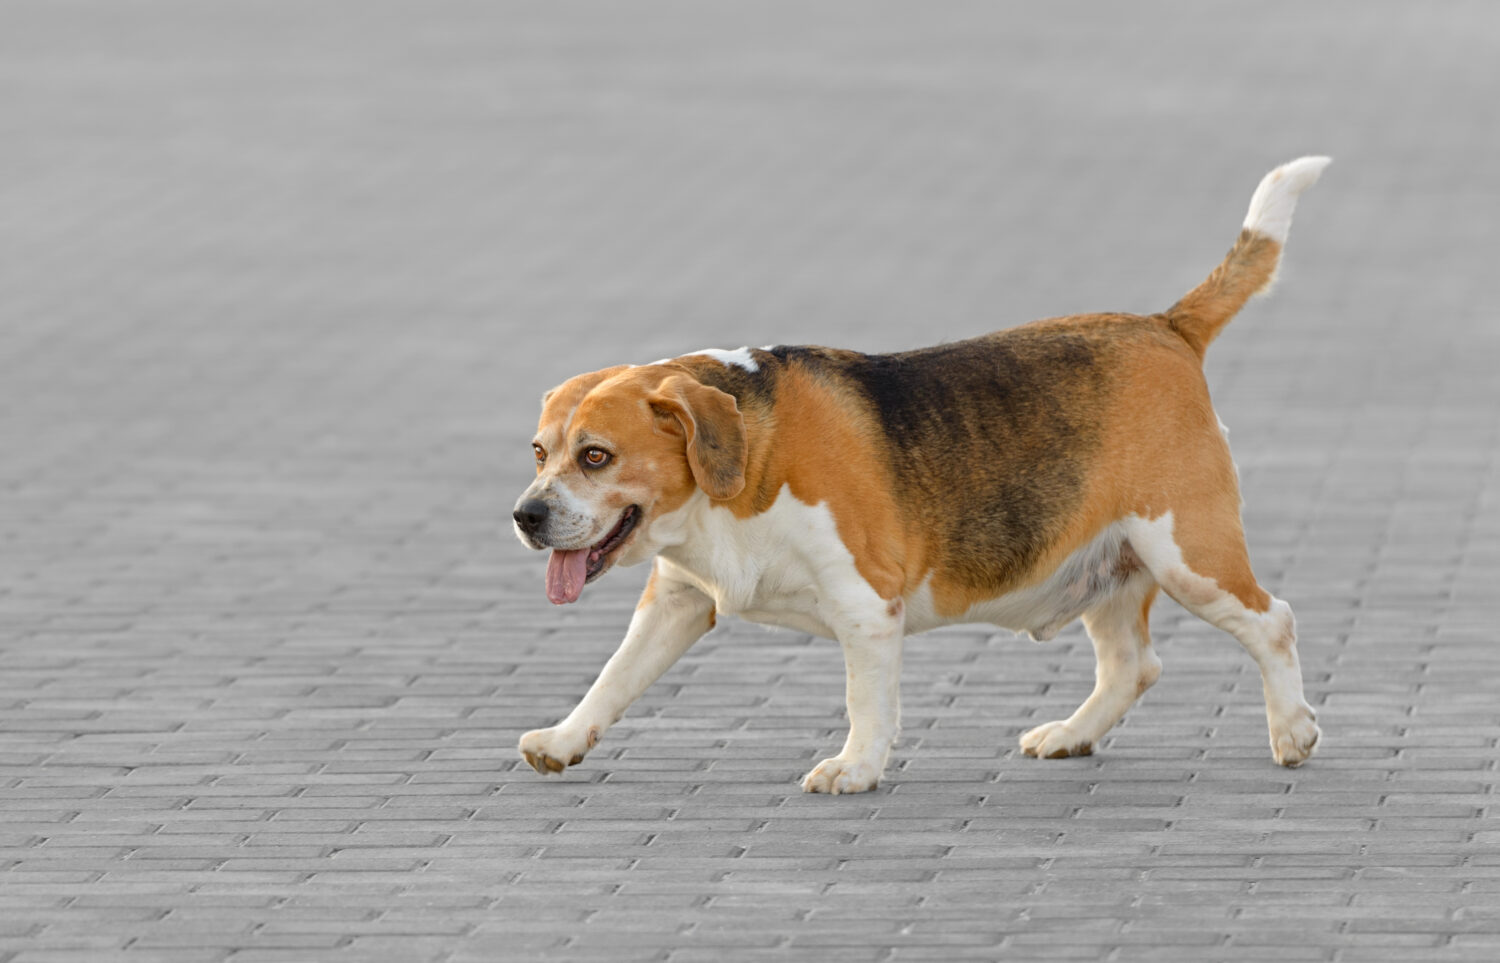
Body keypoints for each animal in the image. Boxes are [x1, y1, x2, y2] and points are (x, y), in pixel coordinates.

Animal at [513, 156, 1326, 786]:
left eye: (596, 455)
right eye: (540, 451)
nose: (525, 516)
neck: (742, 470)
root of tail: (1165, 326)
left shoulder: (865, 604)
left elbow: (864, 699)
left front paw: (856, 767)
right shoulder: (676, 601)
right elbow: (615, 676)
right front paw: (564, 739)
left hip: (1189, 555)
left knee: (1275, 621)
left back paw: (1292, 730)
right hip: (1113, 565)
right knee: (1132, 665)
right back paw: (1072, 733)